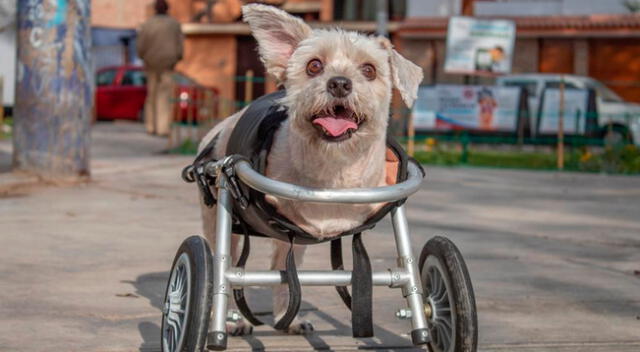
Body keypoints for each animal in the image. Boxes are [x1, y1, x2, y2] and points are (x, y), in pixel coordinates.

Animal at [198, 4, 422, 336]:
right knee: (222, 264)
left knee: (280, 273)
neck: (334, 171)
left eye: (369, 70)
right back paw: (231, 319)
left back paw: (285, 319)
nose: (339, 83)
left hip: (290, 240)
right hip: (218, 217)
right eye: (314, 66)